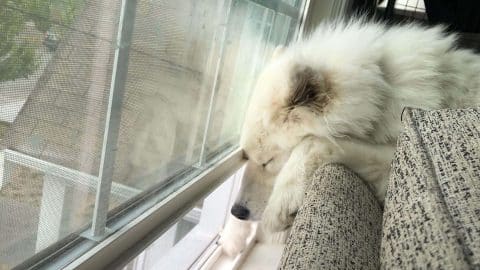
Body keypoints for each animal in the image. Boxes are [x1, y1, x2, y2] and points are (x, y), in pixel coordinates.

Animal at [222, 17, 480, 254]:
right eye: (247, 157)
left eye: (268, 162)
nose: (237, 211)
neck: (384, 90)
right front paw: (233, 236)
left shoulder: (392, 160)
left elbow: (314, 142)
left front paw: (281, 203)